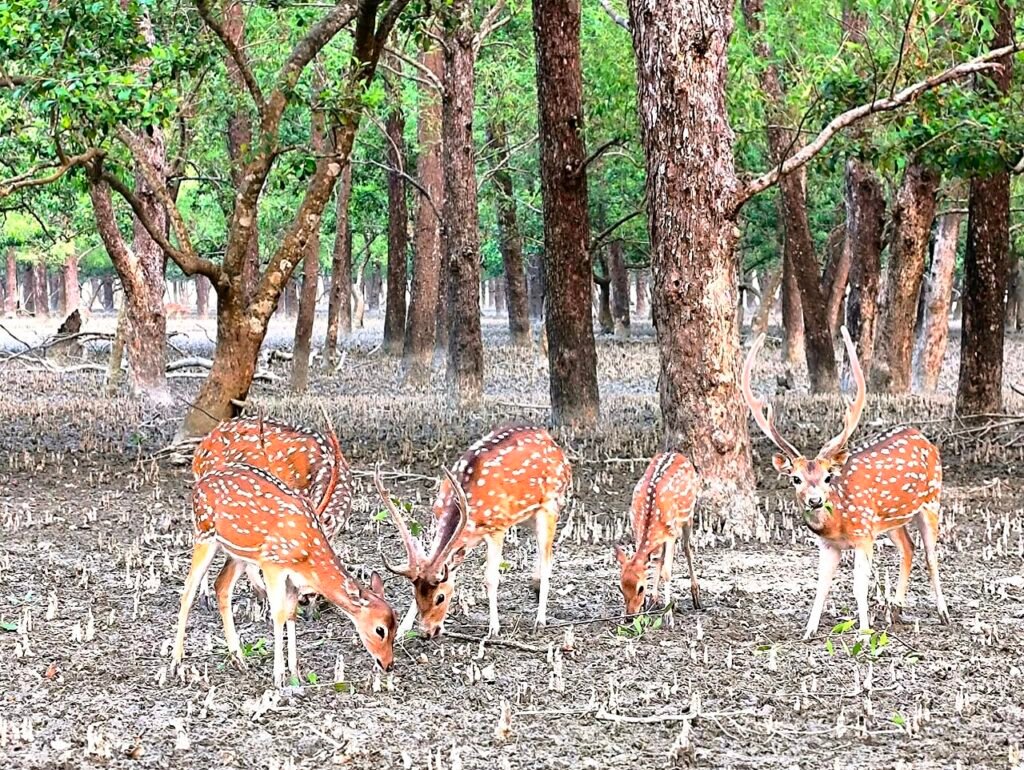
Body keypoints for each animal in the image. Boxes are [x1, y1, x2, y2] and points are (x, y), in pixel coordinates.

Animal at [171, 464, 396, 687]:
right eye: (380, 630)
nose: (388, 664)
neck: (307, 556)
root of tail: (199, 483)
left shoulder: (294, 581)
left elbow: (291, 613)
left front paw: (295, 673)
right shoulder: (273, 564)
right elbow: (278, 613)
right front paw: (278, 676)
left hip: (238, 553)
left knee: (222, 586)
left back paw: (239, 659)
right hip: (204, 532)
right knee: (188, 590)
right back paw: (176, 662)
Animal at [374, 424, 572, 638]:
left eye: (440, 597)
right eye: (415, 594)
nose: (428, 632)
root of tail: (551, 440)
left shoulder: (497, 527)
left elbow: (491, 578)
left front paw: (494, 628)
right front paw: (403, 628)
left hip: (550, 505)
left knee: (547, 561)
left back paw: (540, 620)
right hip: (528, 515)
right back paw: (534, 586)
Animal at [614, 450, 701, 615]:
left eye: (641, 588)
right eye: (621, 588)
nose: (629, 616)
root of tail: (678, 453)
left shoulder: (672, 533)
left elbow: (667, 572)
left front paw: (668, 615)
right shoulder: (636, 530)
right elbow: (651, 563)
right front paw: (648, 604)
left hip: (689, 515)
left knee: (687, 549)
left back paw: (696, 597)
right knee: (659, 558)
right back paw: (653, 600)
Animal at [741, 326, 949, 639]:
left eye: (828, 476)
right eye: (795, 478)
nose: (815, 499)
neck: (838, 522)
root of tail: (923, 437)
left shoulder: (864, 535)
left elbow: (858, 586)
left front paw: (863, 631)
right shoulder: (829, 545)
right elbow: (821, 586)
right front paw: (809, 631)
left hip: (931, 501)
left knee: (931, 555)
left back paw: (943, 613)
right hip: (891, 521)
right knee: (908, 547)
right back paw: (895, 609)